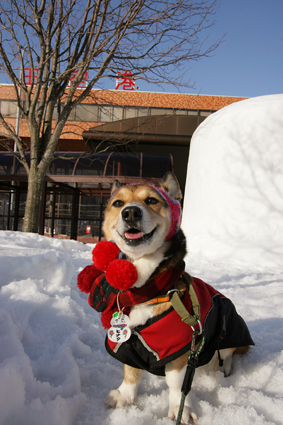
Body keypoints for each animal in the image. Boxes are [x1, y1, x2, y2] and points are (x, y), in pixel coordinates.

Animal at [79, 171, 254, 422]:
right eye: (118, 203)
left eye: (152, 200)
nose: (130, 212)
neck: (145, 289)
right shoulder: (128, 344)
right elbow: (130, 373)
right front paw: (124, 395)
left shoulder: (178, 349)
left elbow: (176, 384)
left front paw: (181, 408)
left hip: (227, 331)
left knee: (226, 355)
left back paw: (223, 369)